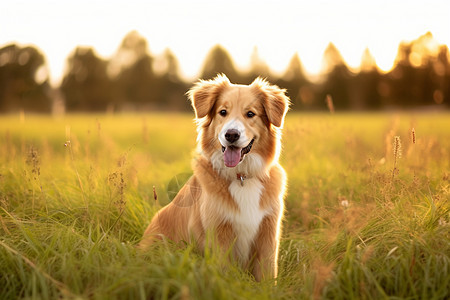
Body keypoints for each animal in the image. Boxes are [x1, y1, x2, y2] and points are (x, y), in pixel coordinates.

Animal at [139, 74, 290, 280]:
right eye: (223, 112)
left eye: (250, 114)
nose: (231, 135)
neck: (241, 177)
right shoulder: (219, 234)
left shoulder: (268, 234)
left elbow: (266, 275)